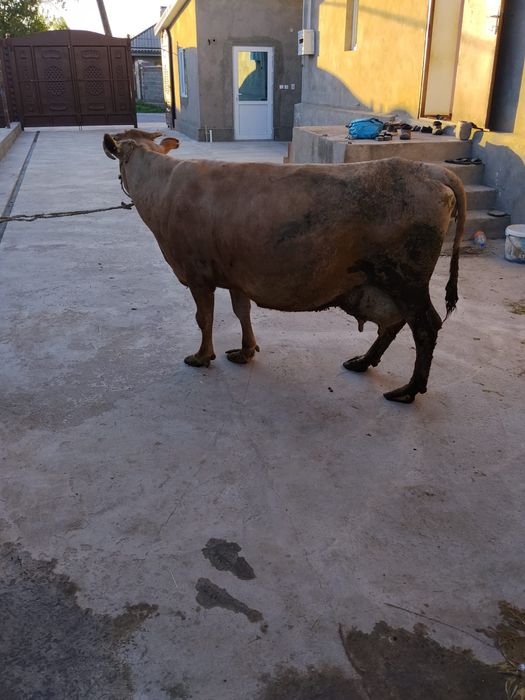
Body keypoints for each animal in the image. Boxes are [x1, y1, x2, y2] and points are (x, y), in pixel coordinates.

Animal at [103, 129, 465, 403]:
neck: (163, 187)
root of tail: (429, 169)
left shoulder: (196, 273)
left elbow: (203, 318)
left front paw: (202, 356)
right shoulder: (235, 275)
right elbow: (242, 312)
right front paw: (246, 351)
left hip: (406, 280)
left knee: (425, 327)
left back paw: (408, 390)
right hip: (385, 284)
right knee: (393, 323)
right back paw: (363, 362)